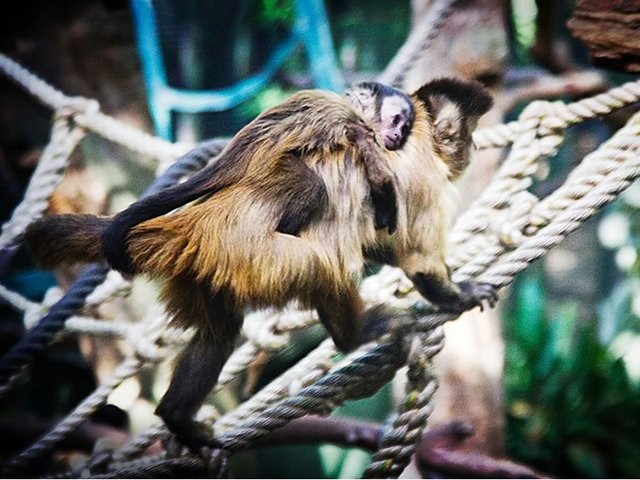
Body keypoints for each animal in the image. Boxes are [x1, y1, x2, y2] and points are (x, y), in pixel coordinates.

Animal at [23, 78, 495, 453]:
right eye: (467, 130)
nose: (473, 145)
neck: (418, 139)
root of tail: (198, 221)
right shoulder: (421, 177)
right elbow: (417, 259)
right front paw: (456, 295)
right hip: (257, 254)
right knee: (322, 263)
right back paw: (354, 335)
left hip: (211, 268)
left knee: (220, 332)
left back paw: (177, 417)